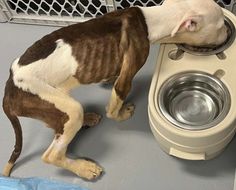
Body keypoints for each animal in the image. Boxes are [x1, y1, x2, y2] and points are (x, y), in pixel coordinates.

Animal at [1, 0, 227, 180]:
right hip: (59, 105)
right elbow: (115, 103)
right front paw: (122, 113)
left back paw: (88, 119)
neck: (152, 20)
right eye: (221, 25)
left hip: (59, 102)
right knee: (52, 154)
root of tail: (9, 91)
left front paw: (108, 79)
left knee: (58, 124)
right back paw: (84, 168)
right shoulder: (128, 74)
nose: (227, 33)